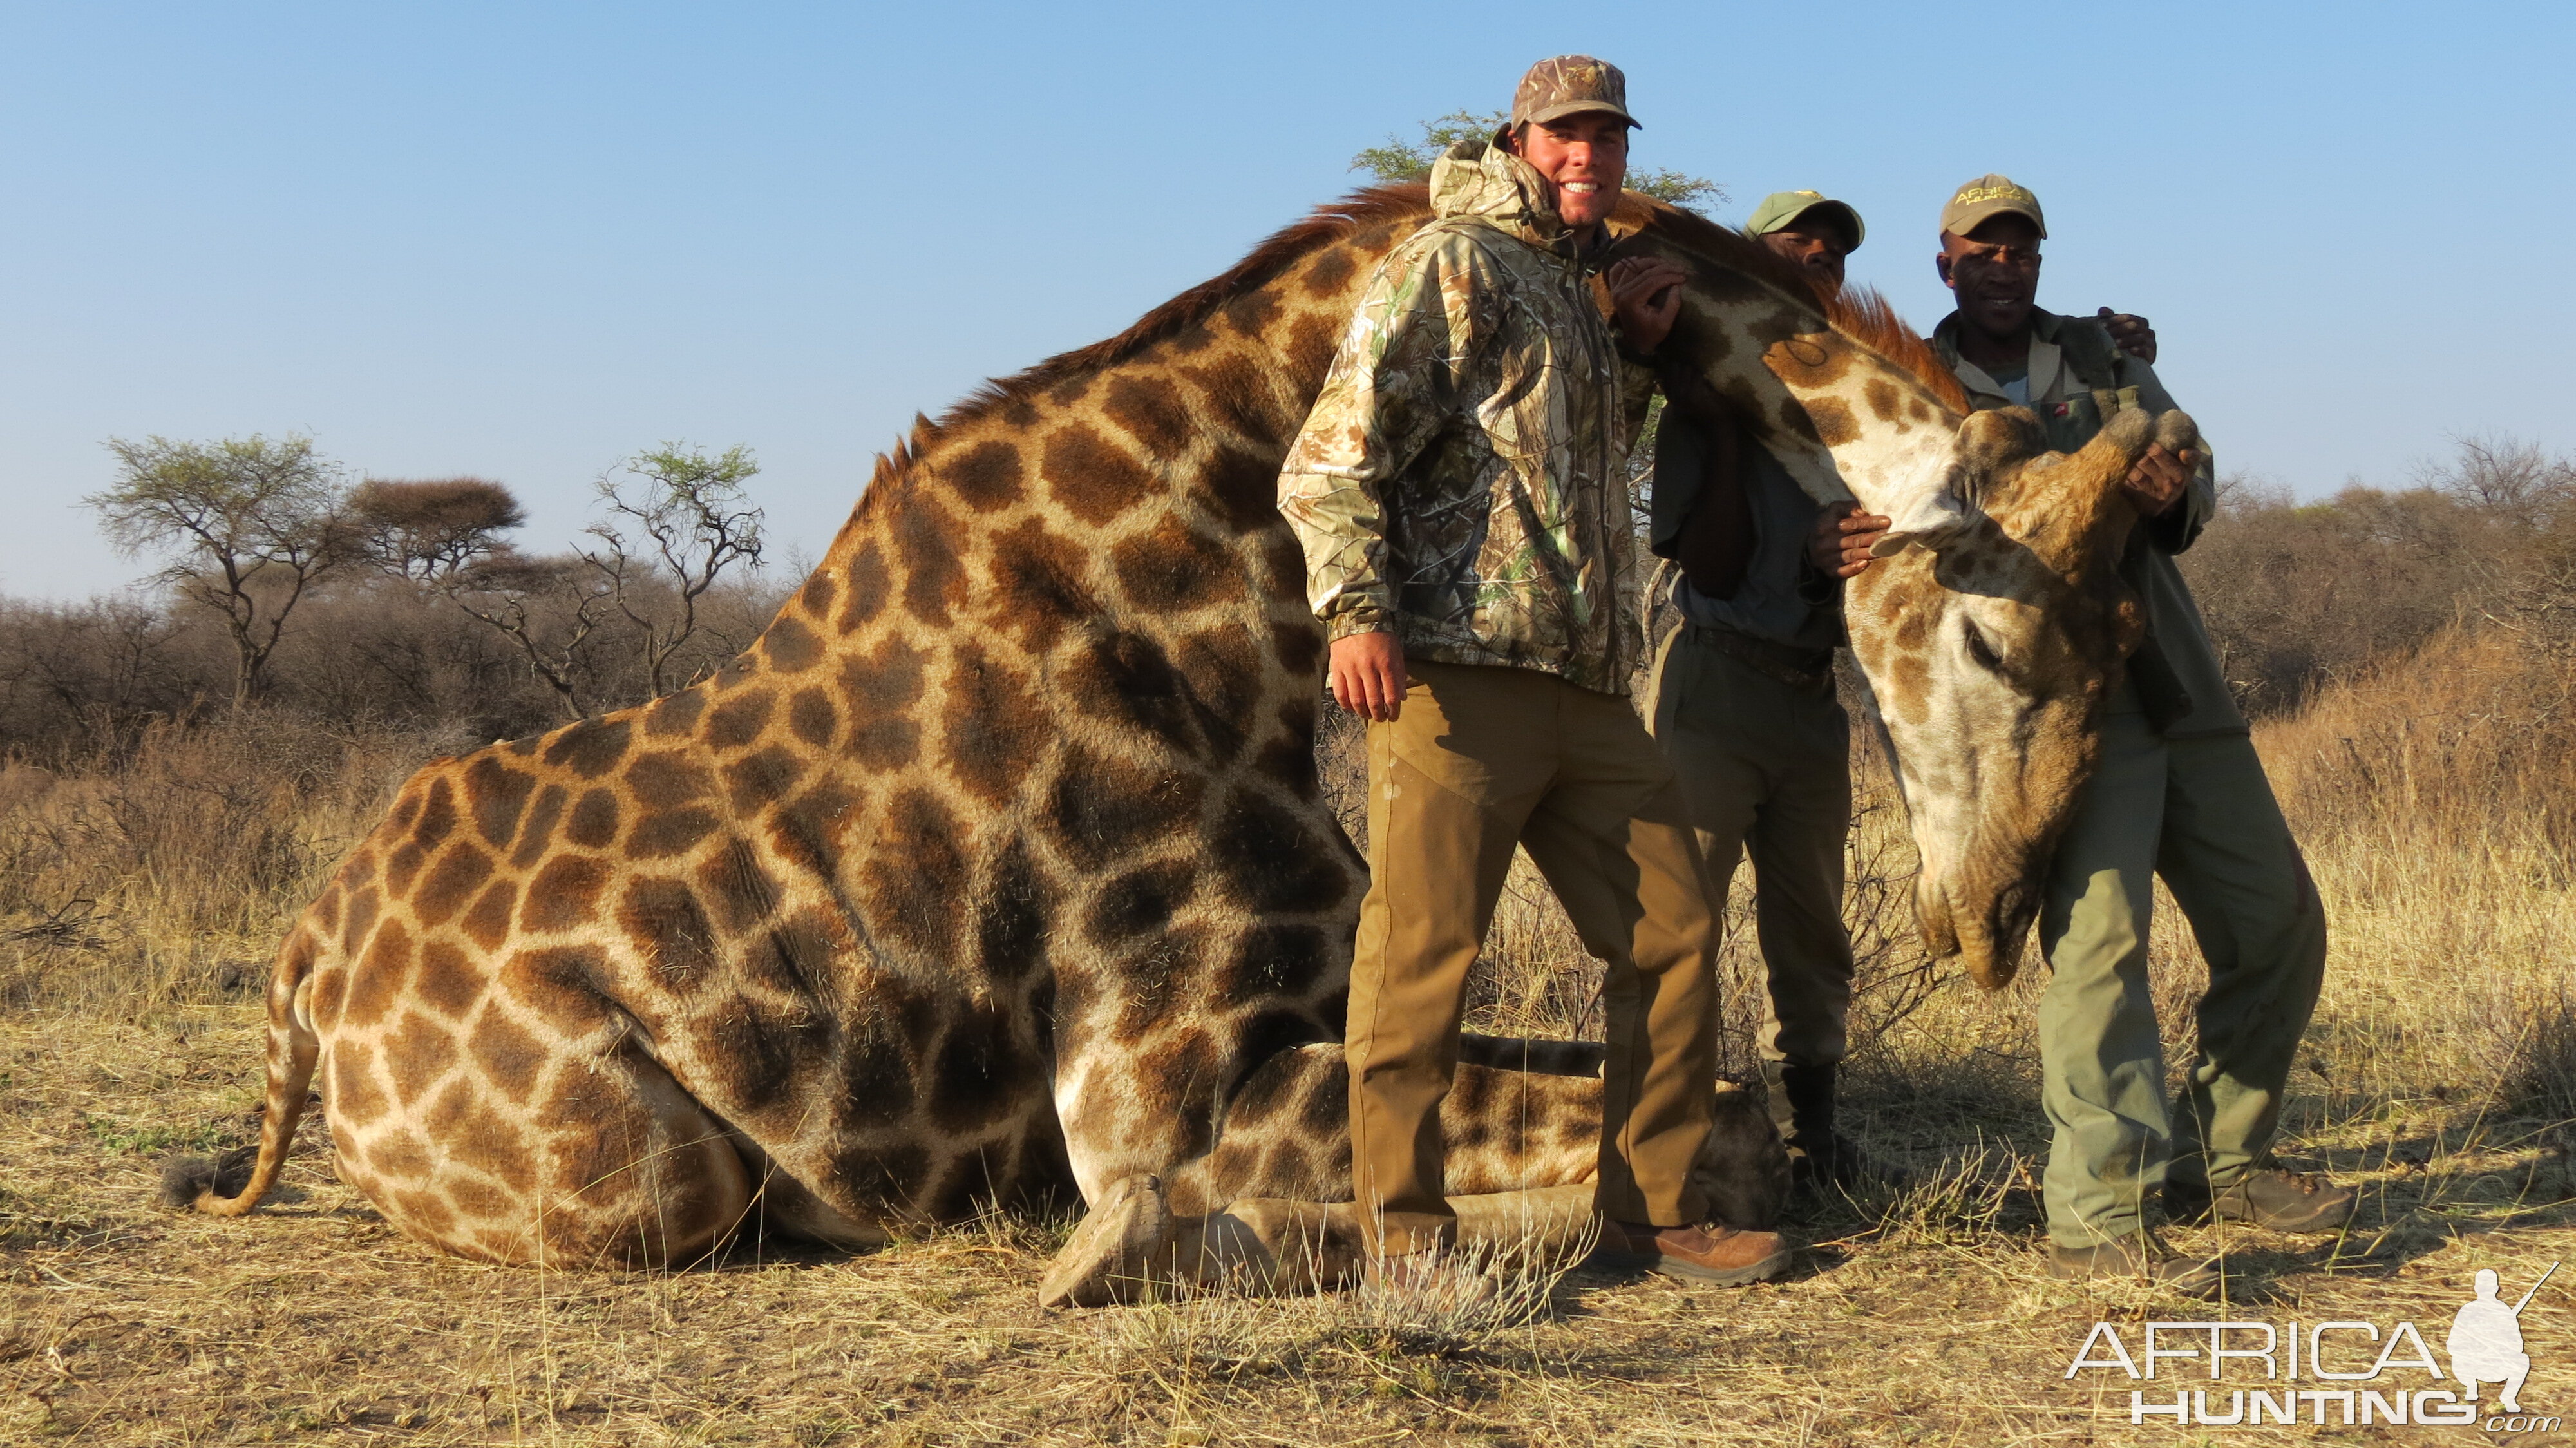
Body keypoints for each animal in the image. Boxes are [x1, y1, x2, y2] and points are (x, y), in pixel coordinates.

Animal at [161, 180, 2174, 1299]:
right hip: (646, 1181)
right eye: (1995, 634)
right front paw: (1146, 1255)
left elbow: (1712, 1093)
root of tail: (306, 969)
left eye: (2115, 657)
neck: (1229, 564)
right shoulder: (1153, 1082)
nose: (1989, 924)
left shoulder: (1313, 994)